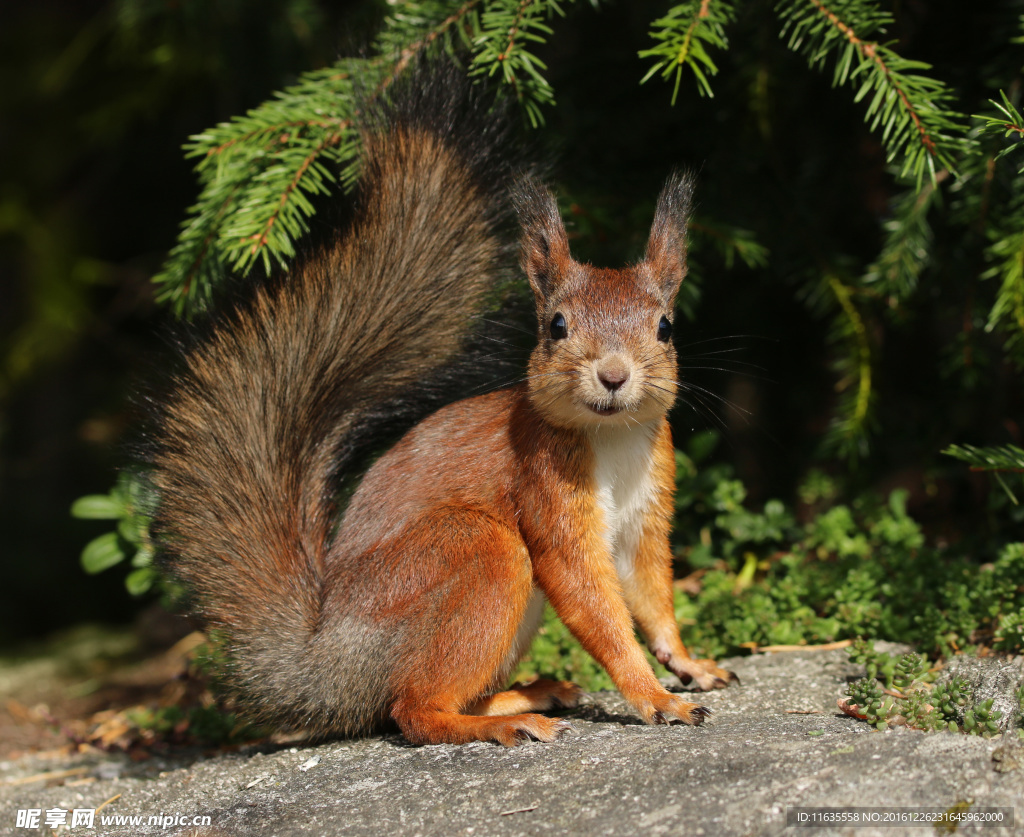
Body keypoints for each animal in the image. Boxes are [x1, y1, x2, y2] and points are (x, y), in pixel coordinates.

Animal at [151, 63, 737, 745]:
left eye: (666, 326)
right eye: (556, 326)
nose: (613, 375)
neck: (611, 438)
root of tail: (327, 662)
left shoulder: (647, 512)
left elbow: (651, 594)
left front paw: (690, 664)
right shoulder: (546, 490)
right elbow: (593, 602)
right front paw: (654, 696)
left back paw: (526, 694)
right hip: (476, 552)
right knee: (412, 707)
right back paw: (504, 723)